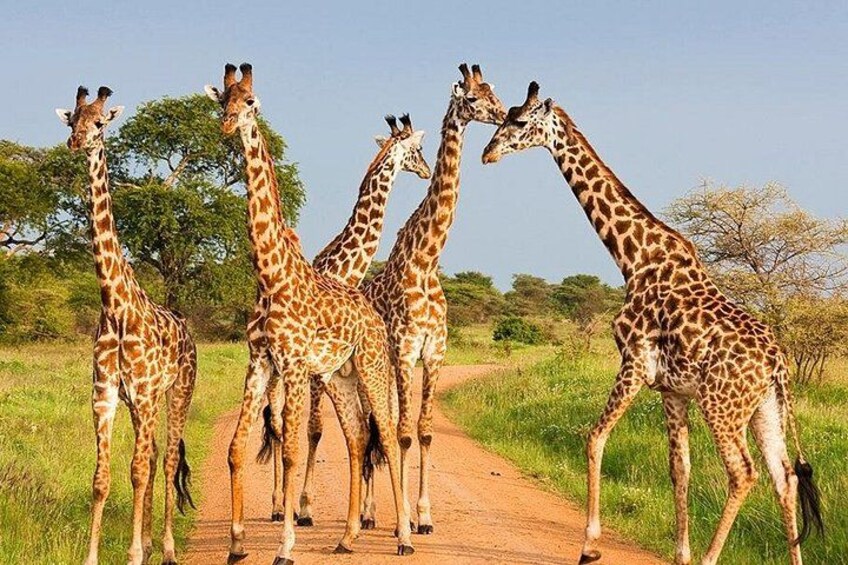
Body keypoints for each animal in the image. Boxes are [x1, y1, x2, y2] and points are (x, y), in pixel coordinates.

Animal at [56, 86, 197, 565]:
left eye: (100, 124)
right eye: (71, 120)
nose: (75, 143)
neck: (114, 306)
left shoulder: (145, 391)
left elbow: (135, 471)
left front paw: (135, 553)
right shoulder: (104, 395)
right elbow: (101, 478)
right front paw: (93, 556)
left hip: (177, 391)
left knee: (166, 459)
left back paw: (166, 546)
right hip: (142, 404)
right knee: (153, 459)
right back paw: (153, 542)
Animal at [204, 63, 414, 564]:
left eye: (250, 102)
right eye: (222, 99)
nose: (227, 125)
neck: (271, 275)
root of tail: (372, 316)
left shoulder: (296, 365)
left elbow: (295, 451)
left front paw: (286, 544)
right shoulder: (261, 362)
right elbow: (237, 447)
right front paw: (237, 544)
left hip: (372, 367)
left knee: (387, 437)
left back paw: (403, 536)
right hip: (341, 375)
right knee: (358, 437)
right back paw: (347, 537)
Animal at [304, 63, 506, 533]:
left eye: (495, 92)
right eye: (474, 98)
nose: (505, 115)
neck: (426, 259)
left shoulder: (435, 353)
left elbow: (425, 431)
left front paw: (425, 516)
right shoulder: (404, 350)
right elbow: (403, 433)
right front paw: (408, 519)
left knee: (372, 428)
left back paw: (369, 512)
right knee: (365, 428)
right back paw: (347, 511)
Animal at [481, 81, 823, 565]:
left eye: (520, 121)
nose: (488, 153)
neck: (634, 258)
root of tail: (777, 363)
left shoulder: (634, 363)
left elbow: (594, 437)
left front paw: (589, 545)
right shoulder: (671, 389)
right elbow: (679, 469)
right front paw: (680, 552)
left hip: (722, 406)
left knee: (743, 473)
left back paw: (710, 557)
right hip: (764, 408)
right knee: (785, 476)